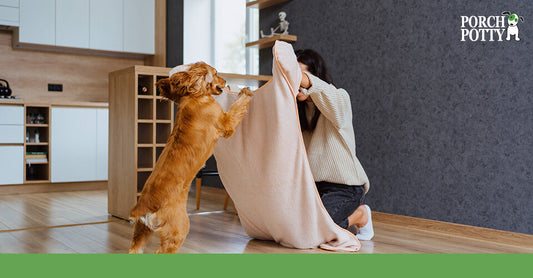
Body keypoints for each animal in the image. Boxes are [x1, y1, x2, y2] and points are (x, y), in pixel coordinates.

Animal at [129, 62, 254, 253]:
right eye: (216, 73)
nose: (225, 81)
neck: (194, 95)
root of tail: (144, 206)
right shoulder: (226, 123)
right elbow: (237, 107)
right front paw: (245, 92)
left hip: (141, 231)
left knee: (134, 249)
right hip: (178, 229)